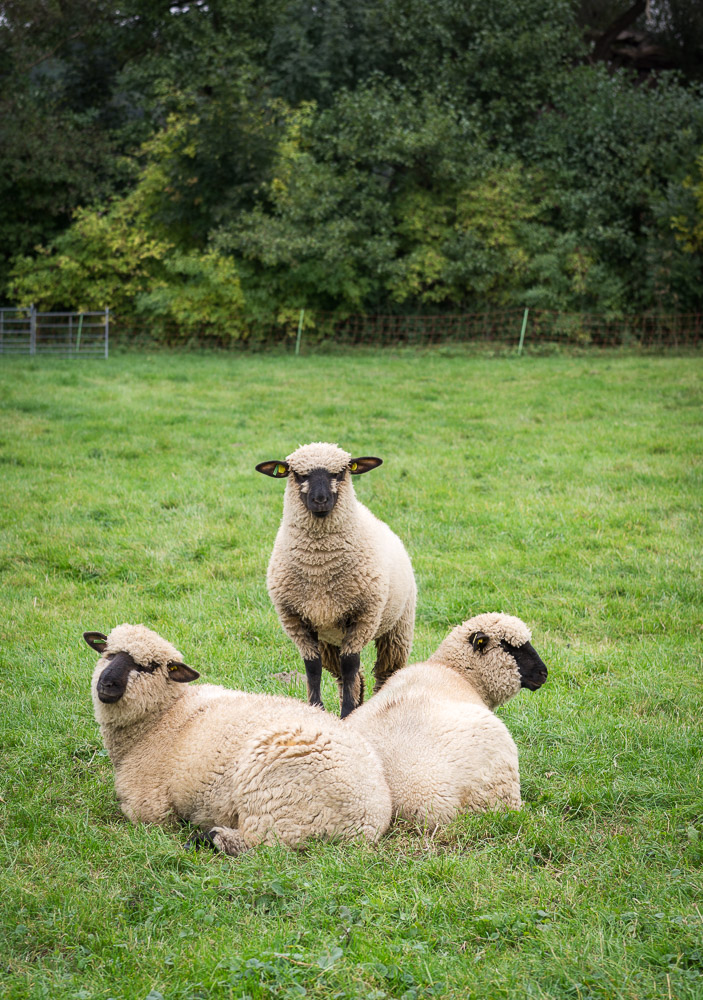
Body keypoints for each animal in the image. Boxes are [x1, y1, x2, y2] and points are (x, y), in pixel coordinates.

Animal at [84, 623, 392, 855]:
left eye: (147, 666)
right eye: (109, 654)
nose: (106, 684)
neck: (163, 716)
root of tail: (370, 819)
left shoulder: (148, 806)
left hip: (280, 801)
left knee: (264, 844)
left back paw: (208, 838)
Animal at [256, 442, 416, 718]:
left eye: (340, 472)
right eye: (299, 474)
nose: (320, 500)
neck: (319, 566)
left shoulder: (363, 616)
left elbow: (350, 664)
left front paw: (347, 714)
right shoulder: (295, 619)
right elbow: (313, 667)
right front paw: (317, 709)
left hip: (398, 628)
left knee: (385, 673)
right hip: (329, 637)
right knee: (346, 676)